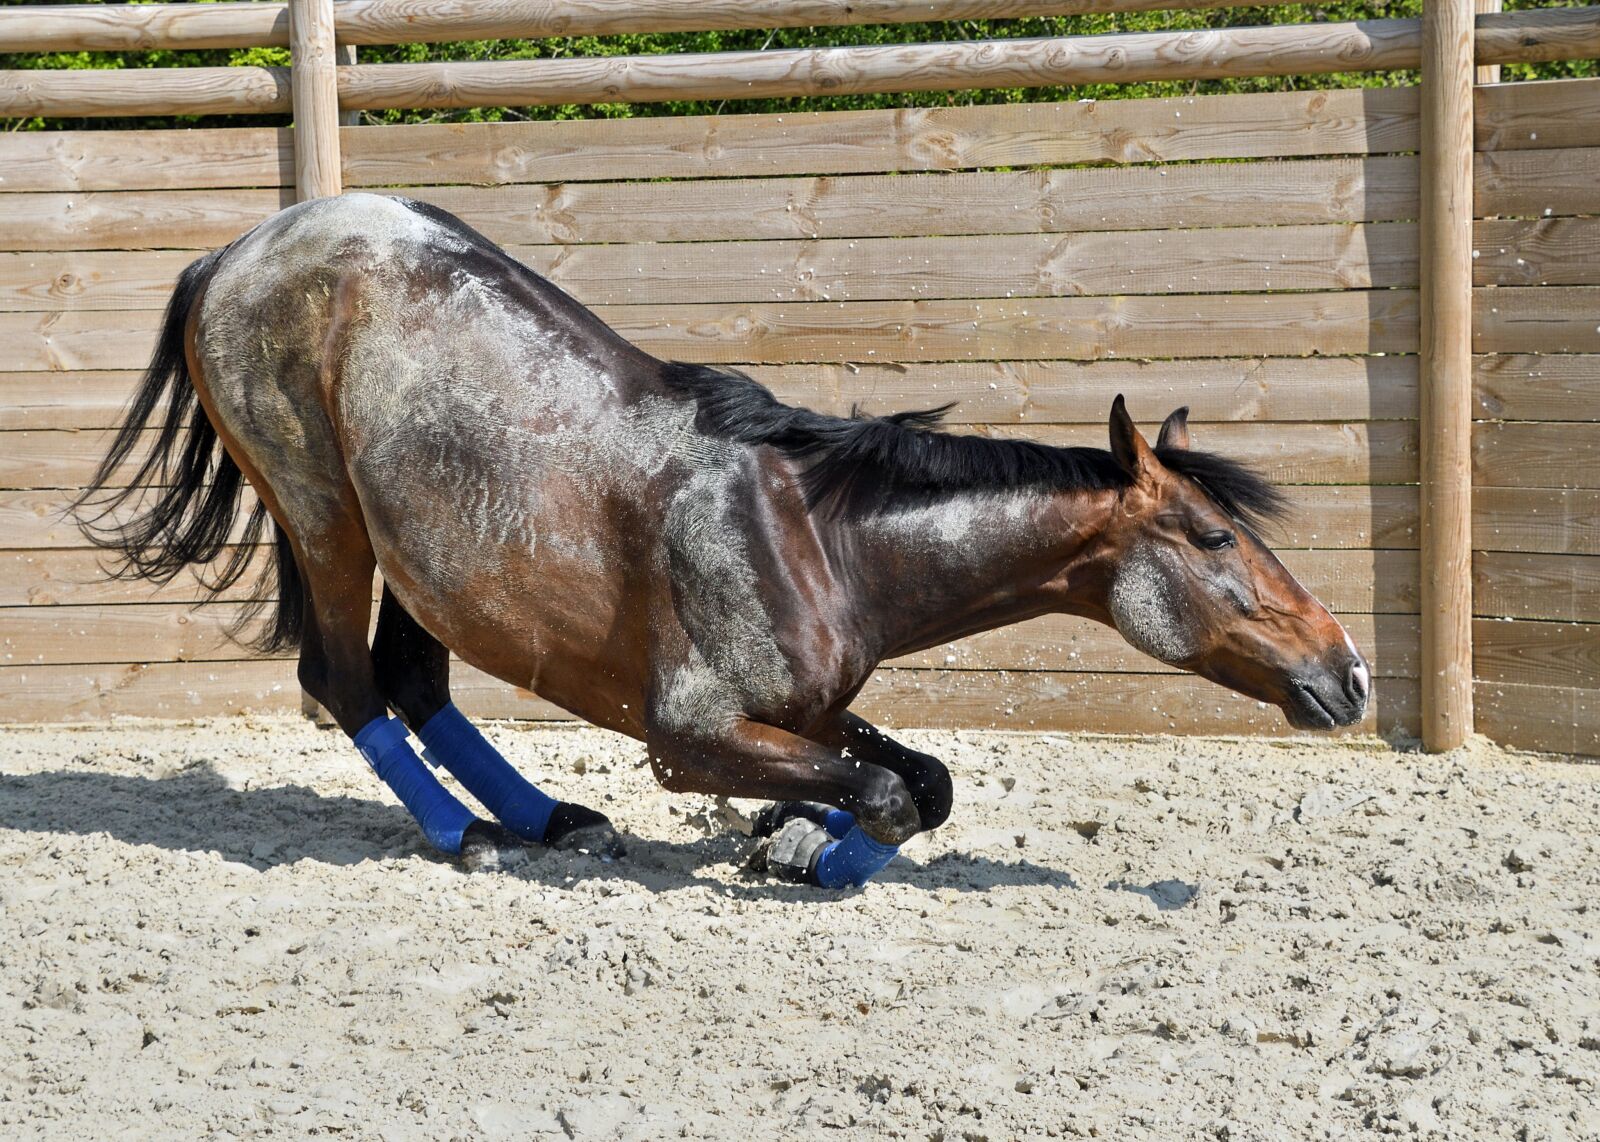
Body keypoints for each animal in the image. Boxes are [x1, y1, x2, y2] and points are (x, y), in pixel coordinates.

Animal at [75, 192, 1370, 888]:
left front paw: (795, 831)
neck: (821, 538)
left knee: (411, 675)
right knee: (346, 677)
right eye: (1213, 534)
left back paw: (547, 818)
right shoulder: (689, 733)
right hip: (327, 516)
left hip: (421, 552)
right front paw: (798, 844)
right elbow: (886, 795)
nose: (1347, 668)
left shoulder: (807, 707)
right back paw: (468, 834)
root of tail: (230, 254)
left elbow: (924, 781)